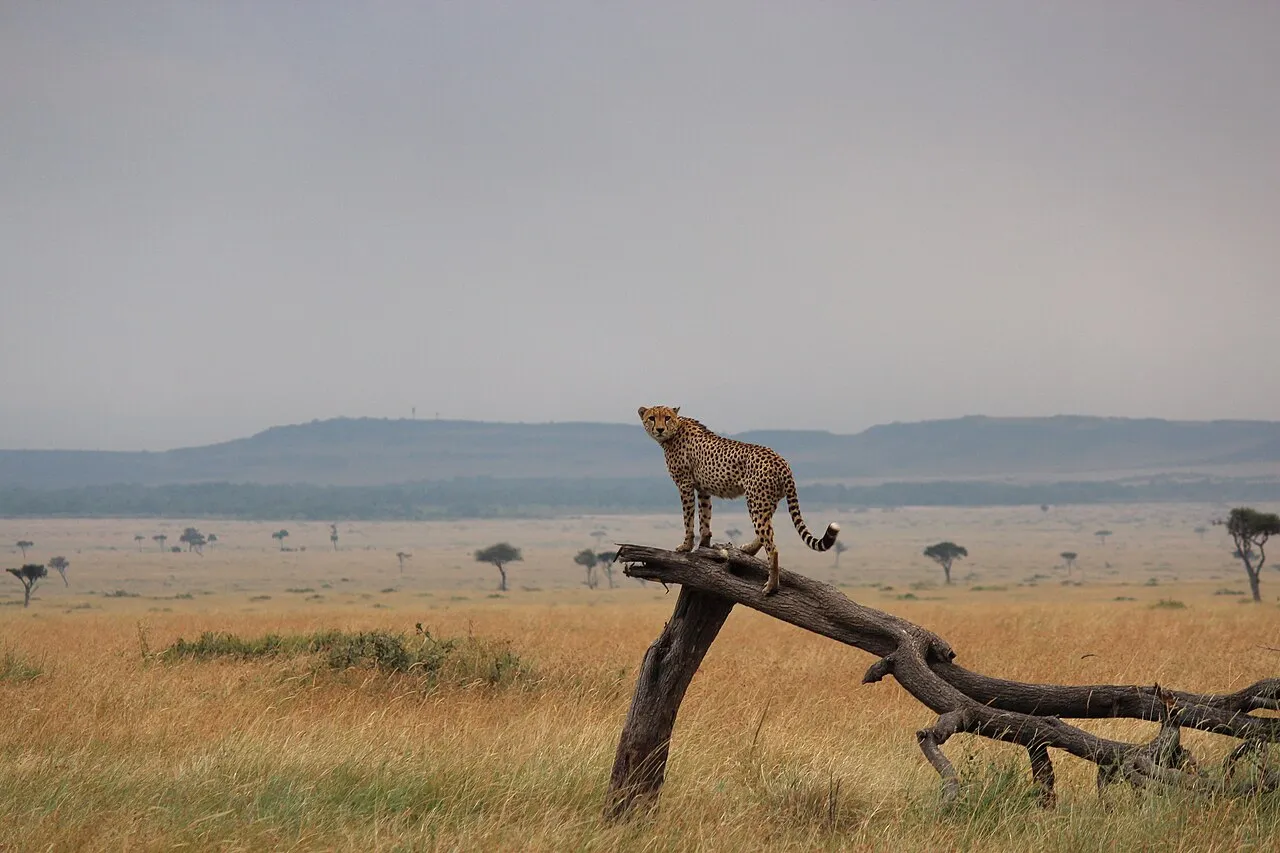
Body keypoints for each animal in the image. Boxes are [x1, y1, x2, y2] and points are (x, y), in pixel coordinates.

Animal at [638, 405, 840, 595]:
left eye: (666, 417)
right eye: (652, 417)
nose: (660, 429)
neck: (676, 429)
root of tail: (781, 461)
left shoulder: (685, 484)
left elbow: (688, 518)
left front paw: (686, 546)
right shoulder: (703, 488)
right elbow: (705, 517)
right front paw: (704, 545)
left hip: (757, 502)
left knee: (772, 546)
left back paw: (771, 586)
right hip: (767, 501)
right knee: (766, 533)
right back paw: (748, 550)